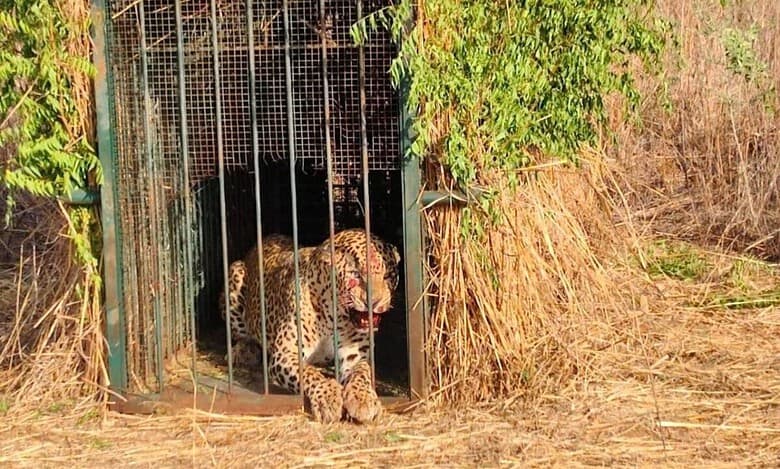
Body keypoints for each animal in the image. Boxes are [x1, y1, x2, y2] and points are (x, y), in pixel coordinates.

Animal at [218, 229, 401, 423]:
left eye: (387, 276)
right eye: (355, 274)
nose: (374, 302)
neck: (335, 317)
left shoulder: (355, 356)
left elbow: (362, 373)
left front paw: (364, 398)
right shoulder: (286, 353)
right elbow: (308, 373)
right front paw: (328, 398)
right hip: (235, 272)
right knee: (241, 335)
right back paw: (244, 352)